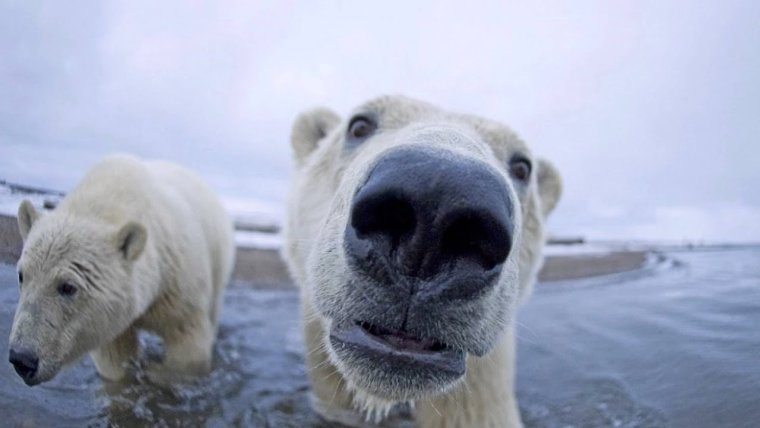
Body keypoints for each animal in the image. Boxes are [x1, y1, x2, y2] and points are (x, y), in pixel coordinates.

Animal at [8, 155, 235, 388]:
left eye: (68, 287)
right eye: (22, 276)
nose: (22, 359)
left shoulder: (176, 284)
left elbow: (187, 343)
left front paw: (155, 373)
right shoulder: (109, 321)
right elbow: (115, 361)